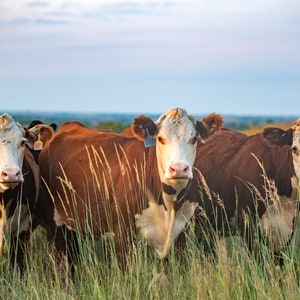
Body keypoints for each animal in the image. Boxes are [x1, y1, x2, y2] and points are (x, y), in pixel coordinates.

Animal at [38, 108, 223, 268]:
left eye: (193, 139)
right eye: (160, 139)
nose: (178, 169)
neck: (169, 204)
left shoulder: (180, 235)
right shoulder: (122, 236)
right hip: (57, 224)